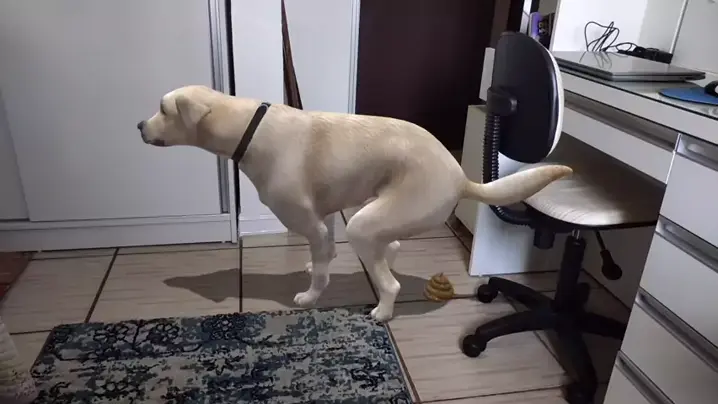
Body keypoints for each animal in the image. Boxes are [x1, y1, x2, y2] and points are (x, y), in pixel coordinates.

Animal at [137, 85, 571, 321]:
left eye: (162, 109)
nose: (138, 125)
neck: (248, 127)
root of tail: (461, 177)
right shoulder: (325, 216)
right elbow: (325, 252)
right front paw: (318, 263)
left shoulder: (311, 222)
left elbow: (320, 271)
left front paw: (310, 296)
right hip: (375, 218)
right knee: (390, 247)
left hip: (364, 223)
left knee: (391, 281)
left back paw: (383, 310)